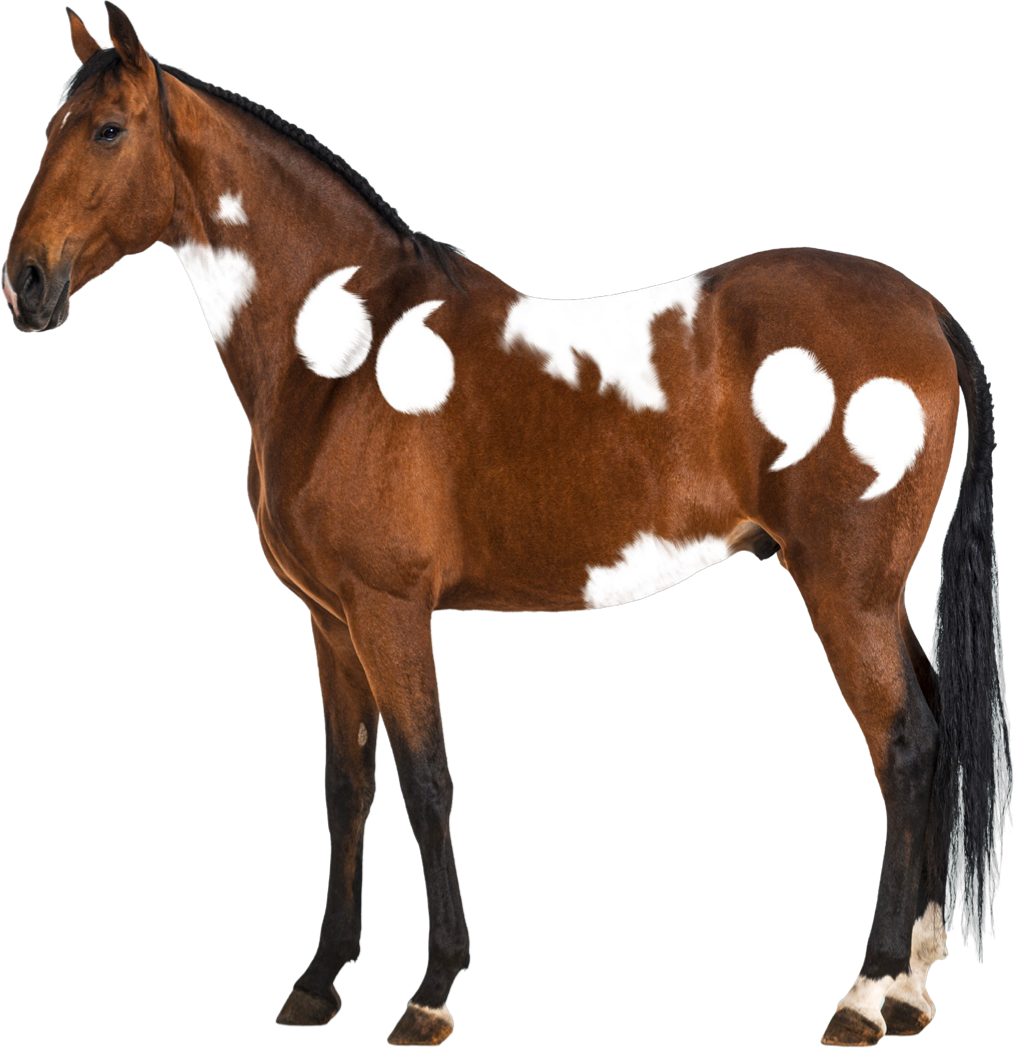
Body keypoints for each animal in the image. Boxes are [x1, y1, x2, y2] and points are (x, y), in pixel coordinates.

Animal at [4, 5, 1009, 1044]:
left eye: (107, 129)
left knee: (904, 747)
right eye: (49, 129)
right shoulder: (329, 621)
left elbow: (425, 780)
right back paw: (913, 984)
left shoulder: (390, 611)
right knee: (936, 732)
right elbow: (347, 788)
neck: (343, 355)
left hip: (843, 591)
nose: (24, 283)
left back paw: (866, 992)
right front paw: (319, 981)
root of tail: (926, 311)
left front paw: (431, 991)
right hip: (877, 594)